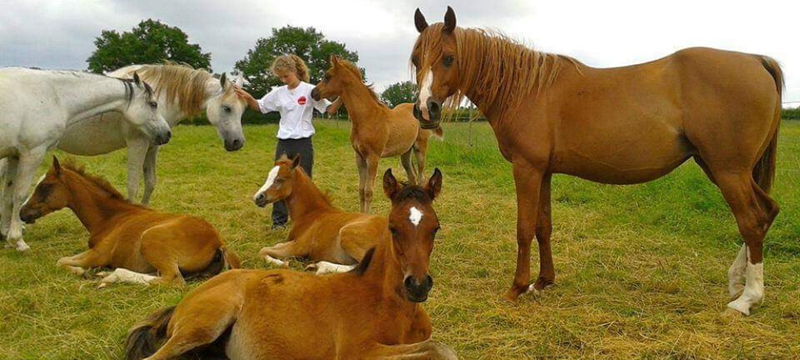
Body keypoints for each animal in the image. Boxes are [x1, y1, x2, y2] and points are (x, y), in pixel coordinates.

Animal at [0, 69, 170, 252]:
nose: (167, 133)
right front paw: (17, 240)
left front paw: (5, 234)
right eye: (153, 104)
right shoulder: (32, 153)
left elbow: (8, 195)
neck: (53, 95)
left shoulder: (15, 155)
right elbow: (19, 195)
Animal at [18, 158, 238, 286]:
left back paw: (110, 277)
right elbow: (62, 260)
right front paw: (87, 272)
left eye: (45, 186)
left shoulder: (98, 254)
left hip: (150, 239)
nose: (22, 213)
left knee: (172, 280)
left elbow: (61, 261)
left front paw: (84, 272)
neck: (111, 218)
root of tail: (218, 241)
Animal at [55, 64, 247, 204]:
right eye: (227, 108)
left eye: (243, 110)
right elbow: (133, 186)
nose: (237, 142)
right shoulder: (137, 145)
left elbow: (150, 183)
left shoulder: (153, 146)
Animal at [121, 169, 454, 360]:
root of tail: (184, 300)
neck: (390, 305)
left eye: (435, 227)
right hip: (203, 326)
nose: (418, 285)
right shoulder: (357, 351)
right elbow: (441, 349)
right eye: (392, 227)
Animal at [310, 55, 444, 214]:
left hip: (420, 148)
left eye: (327, 76)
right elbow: (361, 190)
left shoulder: (373, 158)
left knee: (421, 177)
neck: (367, 117)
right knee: (412, 177)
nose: (313, 93)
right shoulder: (360, 157)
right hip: (405, 152)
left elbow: (368, 191)